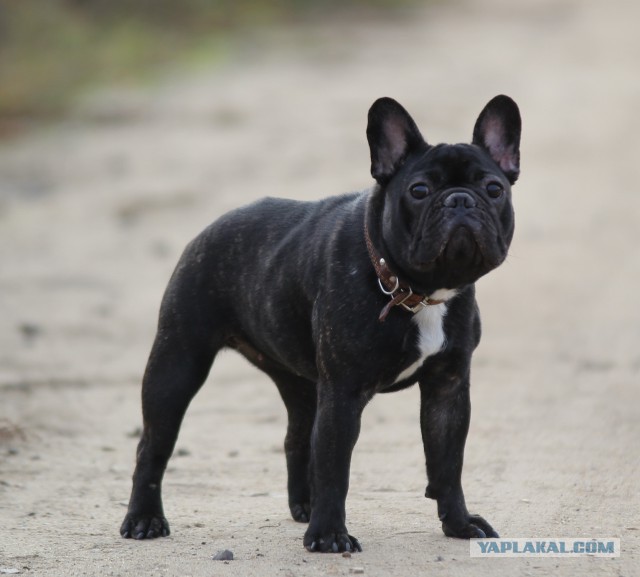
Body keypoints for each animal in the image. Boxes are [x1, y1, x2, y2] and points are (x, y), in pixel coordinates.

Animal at [120, 95, 520, 552]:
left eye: (494, 189)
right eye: (419, 191)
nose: (460, 201)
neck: (415, 289)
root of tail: (208, 229)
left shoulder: (448, 390)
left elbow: (447, 464)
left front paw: (459, 523)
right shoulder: (343, 394)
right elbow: (334, 466)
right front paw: (329, 535)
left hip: (301, 382)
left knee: (297, 437)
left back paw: (304, 507)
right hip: (177, 363)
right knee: (153, 445)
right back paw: (144, 519)